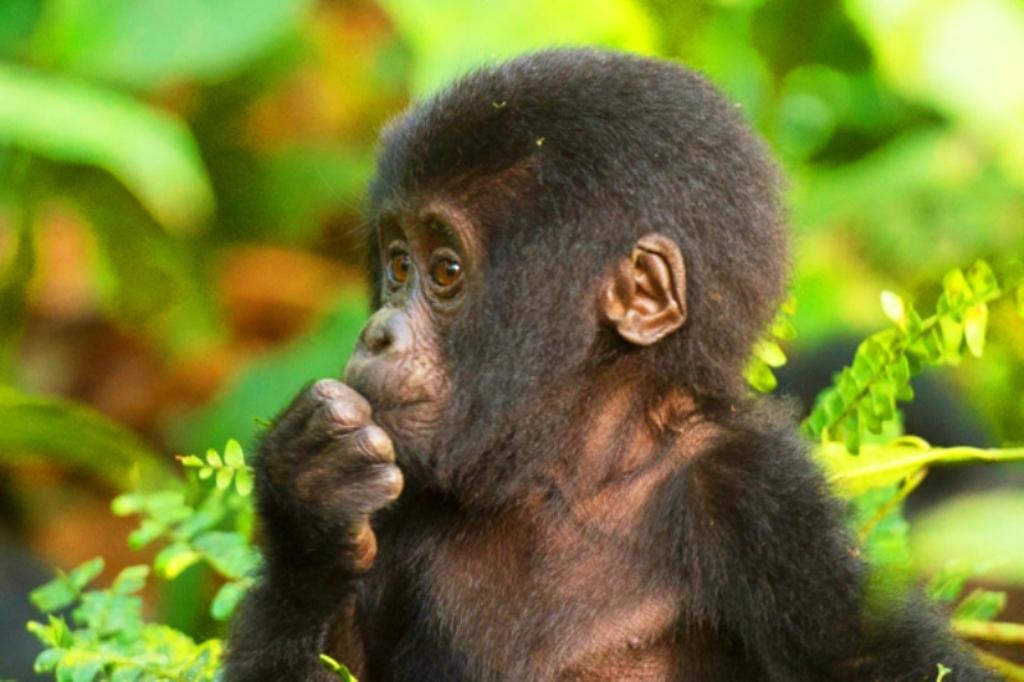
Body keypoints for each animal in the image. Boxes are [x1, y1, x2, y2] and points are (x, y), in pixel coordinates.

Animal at [225, 48, 996, 681]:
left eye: (444, 271)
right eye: (396, 265)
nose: (377, 334)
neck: (568, 472)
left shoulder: (760, 493)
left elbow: (871, 654)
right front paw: (308, 516)